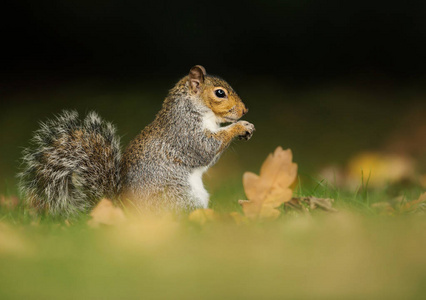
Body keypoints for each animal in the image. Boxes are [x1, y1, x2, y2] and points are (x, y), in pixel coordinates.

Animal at [18, 65, 255, 216]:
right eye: (220, 93)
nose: (244, 110)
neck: (194, 108)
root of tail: (126, 212)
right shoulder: (185, 133)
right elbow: (206, 149)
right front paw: (240, 127)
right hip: (179, 196)